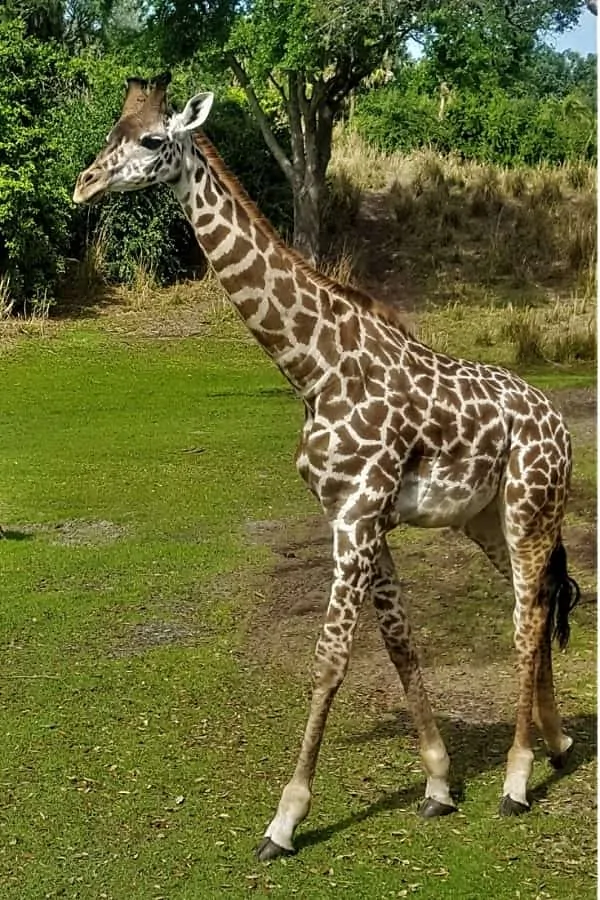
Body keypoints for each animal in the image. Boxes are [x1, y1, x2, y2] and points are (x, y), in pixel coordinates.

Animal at [72, 74, 580, 860]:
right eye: (109, 135)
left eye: (154, 139)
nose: (83, 186)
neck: (312, 370)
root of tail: (557, 422)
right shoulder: (353, 515)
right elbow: (399, 644)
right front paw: (438, 784)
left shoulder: (358, 513)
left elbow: (331, 658)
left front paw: (284, 820)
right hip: (487, 519)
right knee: (540, 598)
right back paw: (554, 743)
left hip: (530, 504)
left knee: (526, 620)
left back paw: (518, 779)